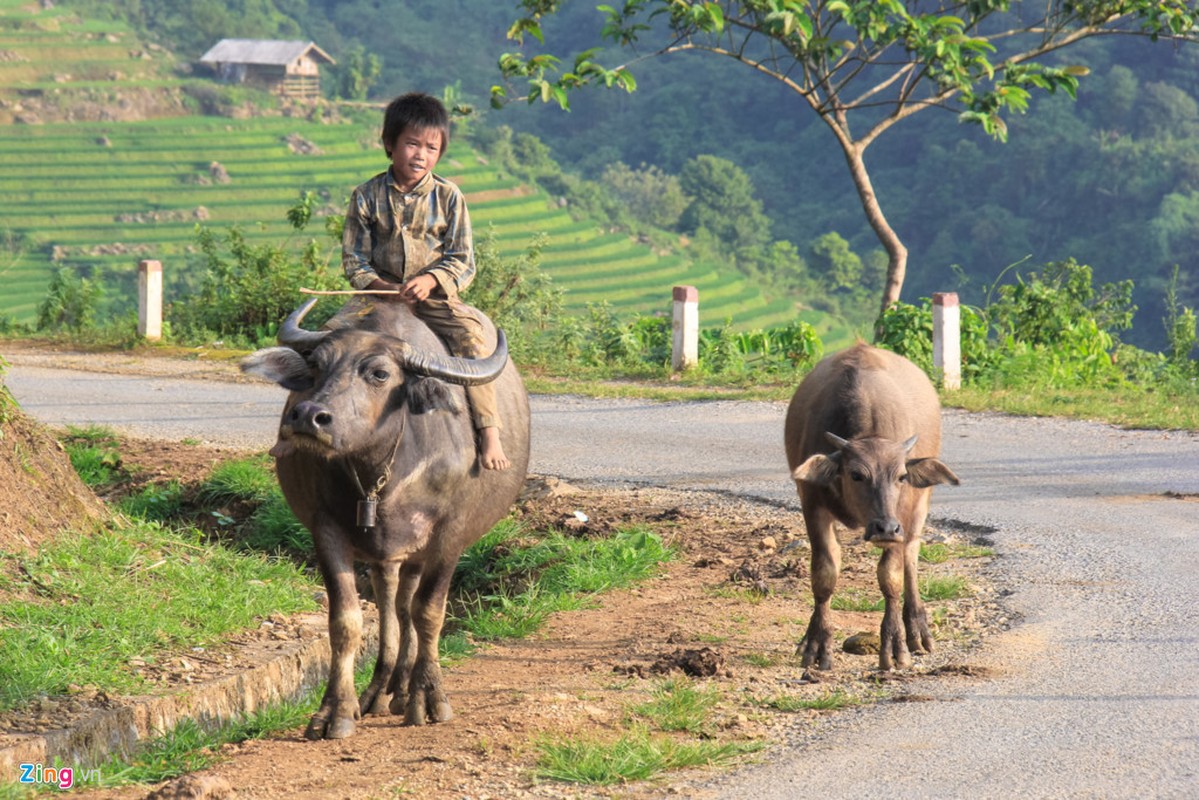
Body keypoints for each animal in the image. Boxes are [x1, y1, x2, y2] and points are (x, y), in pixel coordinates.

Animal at [240, 296, 527, 738]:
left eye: (379, 373)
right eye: (317, 366)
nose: (308, 416)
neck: (381, 475)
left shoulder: (449, 536)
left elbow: (429, 612)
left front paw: (429, 698)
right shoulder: (326, 530)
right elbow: (346, 621)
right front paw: (335, 711)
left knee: (407, 605)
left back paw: (404, 689)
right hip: (386, 555)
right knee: (393, 604)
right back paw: (381, 689)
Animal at [781, 343, 959, 671]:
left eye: (901, 476)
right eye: (856, 474)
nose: (884, 528)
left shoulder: (902, 515)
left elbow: (891, 576)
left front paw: (894, 645)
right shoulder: (812, 504)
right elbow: (824, 574)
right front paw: (816, 644)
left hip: (920, 505)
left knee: (911, 555)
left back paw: (917, 628)